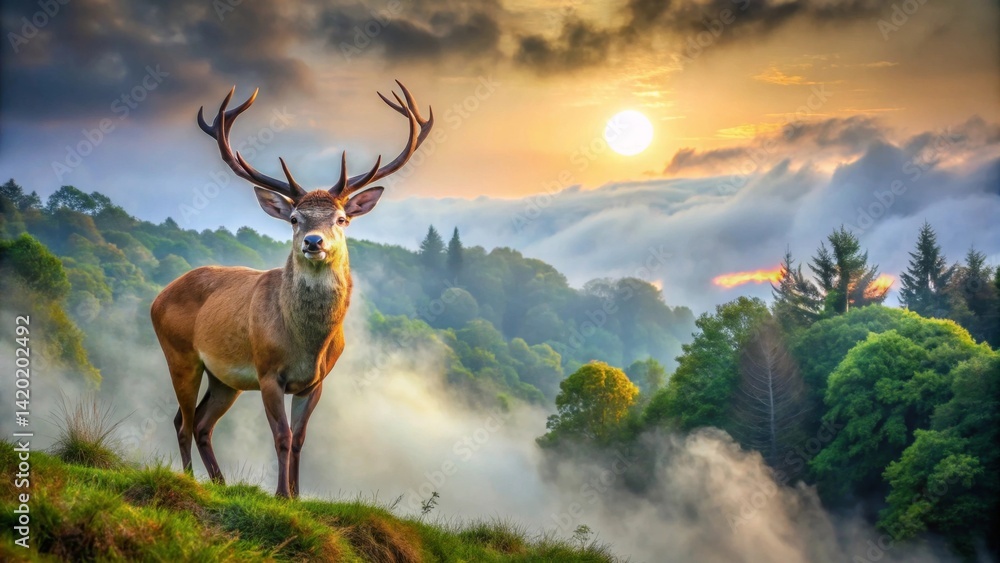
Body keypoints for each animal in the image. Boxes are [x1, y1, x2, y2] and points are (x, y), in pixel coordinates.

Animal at [150, 82, 433, 498]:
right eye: (296, 218)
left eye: (342, 218)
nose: (314, 242)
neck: (307, 344)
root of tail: (158, 297)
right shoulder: (269, 373)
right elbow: (281, 436)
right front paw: (281, 494)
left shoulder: (316, 382)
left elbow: (299, 439)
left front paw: (297, 496)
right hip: (181, 354)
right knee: (183, 423)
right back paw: (190, 480)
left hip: (224, 379)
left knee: (201, 423)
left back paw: (221, 482)